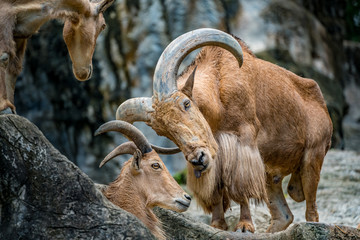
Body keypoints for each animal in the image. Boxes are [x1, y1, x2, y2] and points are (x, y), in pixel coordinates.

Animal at [114, 27, 332, 232]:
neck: (219, 91)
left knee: (311, 209)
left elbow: (240, 186)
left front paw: (244, 226)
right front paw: (217, 225)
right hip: (271, 175)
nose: (198, 159)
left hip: (312, 158)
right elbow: (217, 190)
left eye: (186, 103)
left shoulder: (243, 143)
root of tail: (322, 104)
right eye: (161, 130)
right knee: (284, 215)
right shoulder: (215, 157)